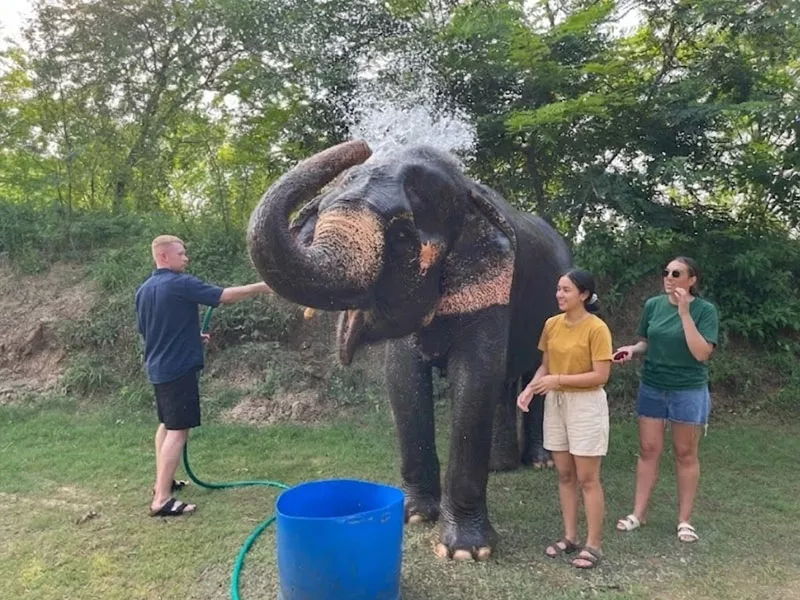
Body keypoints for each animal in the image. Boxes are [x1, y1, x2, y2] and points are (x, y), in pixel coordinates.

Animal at [247, 140, 572, 560]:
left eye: (402, 236)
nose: (362, 146)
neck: (467, 192)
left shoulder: (492, 287)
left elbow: (475, 376)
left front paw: (466, 552)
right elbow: (402, 378)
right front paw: (414, 515)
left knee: (534, 375)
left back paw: (539, 463)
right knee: (505, 381)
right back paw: (501, 466)